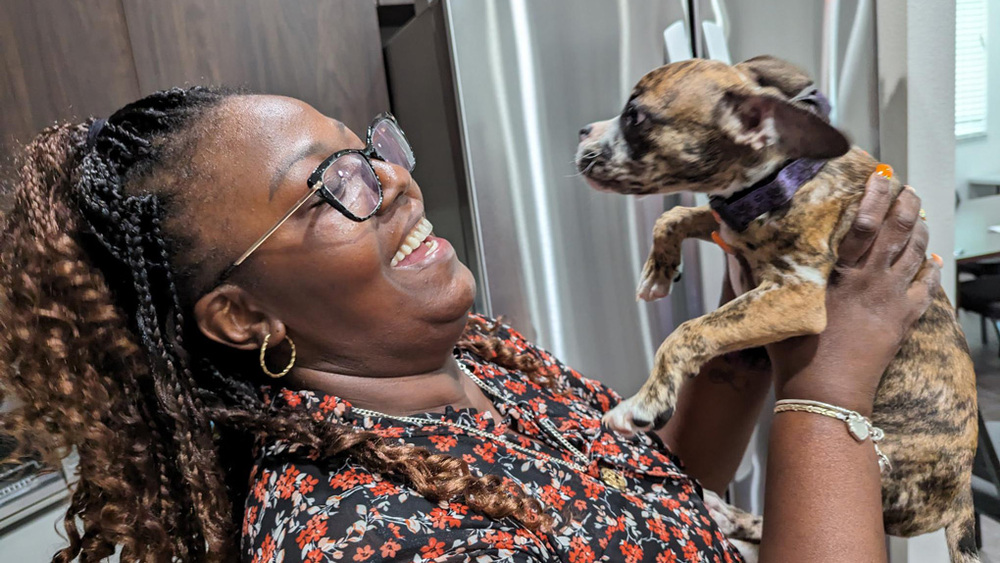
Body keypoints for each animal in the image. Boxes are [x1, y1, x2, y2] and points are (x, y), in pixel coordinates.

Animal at [580, 55, 976, 560]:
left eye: (635, 117)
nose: (582, 130)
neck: (781, 176)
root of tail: (961, 498)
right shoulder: (727, 226)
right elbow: (675, 215)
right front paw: (658, 272)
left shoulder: (797, 295)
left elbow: (689, 331)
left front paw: (643, 405)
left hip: (884, 476)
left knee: (767, 525)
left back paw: (729, 515)